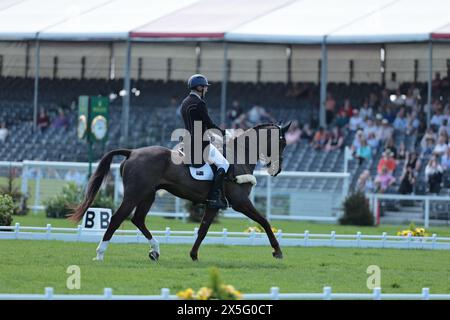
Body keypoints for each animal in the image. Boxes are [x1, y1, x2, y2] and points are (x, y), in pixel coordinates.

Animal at [68, 122, 290, 260]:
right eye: (282, 142)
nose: (277, 170)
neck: (240, 156)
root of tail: (132, 152)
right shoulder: (240, 202)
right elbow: (264, 221)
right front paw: (277, 251)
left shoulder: (213, 205)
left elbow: (203, 229)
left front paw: (193, 255)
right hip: (134, 194)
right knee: (117, 218)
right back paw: (100, 253)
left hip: (148, 195)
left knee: (138, 219)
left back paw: (155, 251)